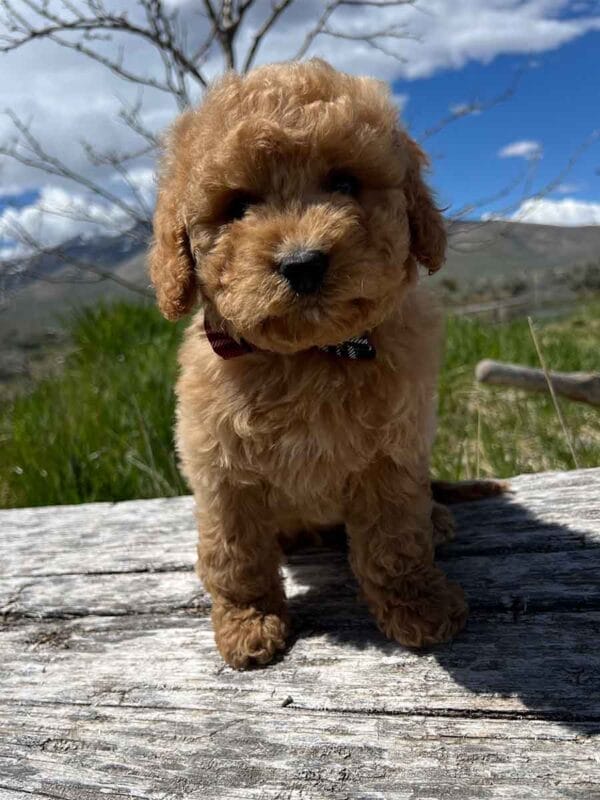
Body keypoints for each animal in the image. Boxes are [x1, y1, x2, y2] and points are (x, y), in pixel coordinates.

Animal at [150, 57, 468, 668]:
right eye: (238, 206)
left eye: (344, 182)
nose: (302, 263)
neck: (307, 357)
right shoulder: (221, 471)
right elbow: (235, 557)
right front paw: (249, 626)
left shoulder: (391, 457)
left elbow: (394, 541)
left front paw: (419, 607)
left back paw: (439, 518)